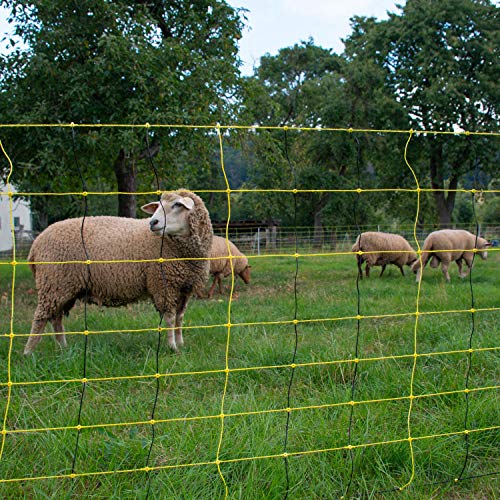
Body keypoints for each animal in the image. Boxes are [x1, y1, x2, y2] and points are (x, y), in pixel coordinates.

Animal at [23, 188, 211, 356]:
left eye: (177, 204)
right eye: (158, 206)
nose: (153, 222)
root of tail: (35, 245)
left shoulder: (185, 288)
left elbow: (180, 318)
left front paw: (181, 344)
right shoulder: (164, 285)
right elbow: (171, 318)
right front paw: (172, 347)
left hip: (62, 286)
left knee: (56, 319)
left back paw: (63, 348)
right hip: (53, 283)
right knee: (40, 318)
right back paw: (28, 352)